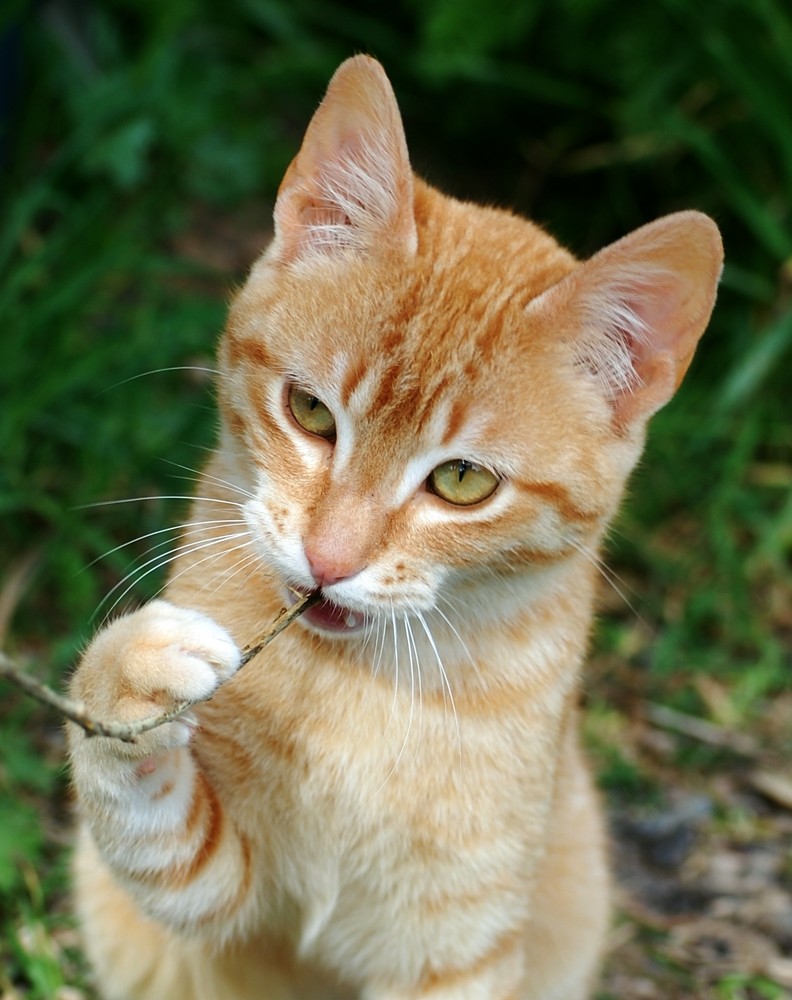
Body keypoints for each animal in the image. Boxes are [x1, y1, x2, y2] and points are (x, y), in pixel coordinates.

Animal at [68, 56, 724, 1000]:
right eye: (311, 412)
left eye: (462, 481)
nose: (327, 559)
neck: (358, 685)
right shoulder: (221, 889)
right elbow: (138, 813)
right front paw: (134, 675)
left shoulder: (456, 950)